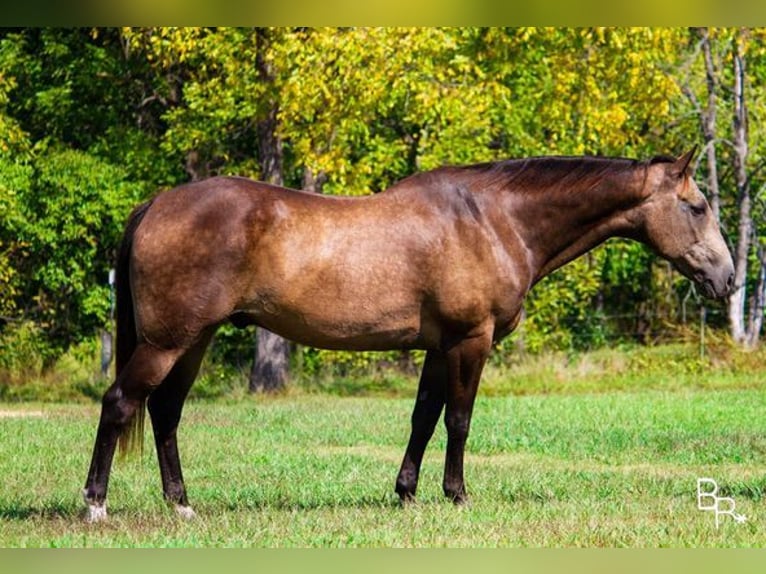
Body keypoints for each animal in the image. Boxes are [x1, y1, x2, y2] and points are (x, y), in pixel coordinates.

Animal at [81, 148, 736, 520]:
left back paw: (182, 505)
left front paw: (406, 492)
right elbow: (459, 420)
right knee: (121, 403)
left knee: (164, 413)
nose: (728, 278)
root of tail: (156, 204)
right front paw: (458, 495)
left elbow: (424, 417)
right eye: (698, 206)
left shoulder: (439, 347)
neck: (492, 220)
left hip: (193, 341)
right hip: (168, 342)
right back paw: (96, 505)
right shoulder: (470, 341)